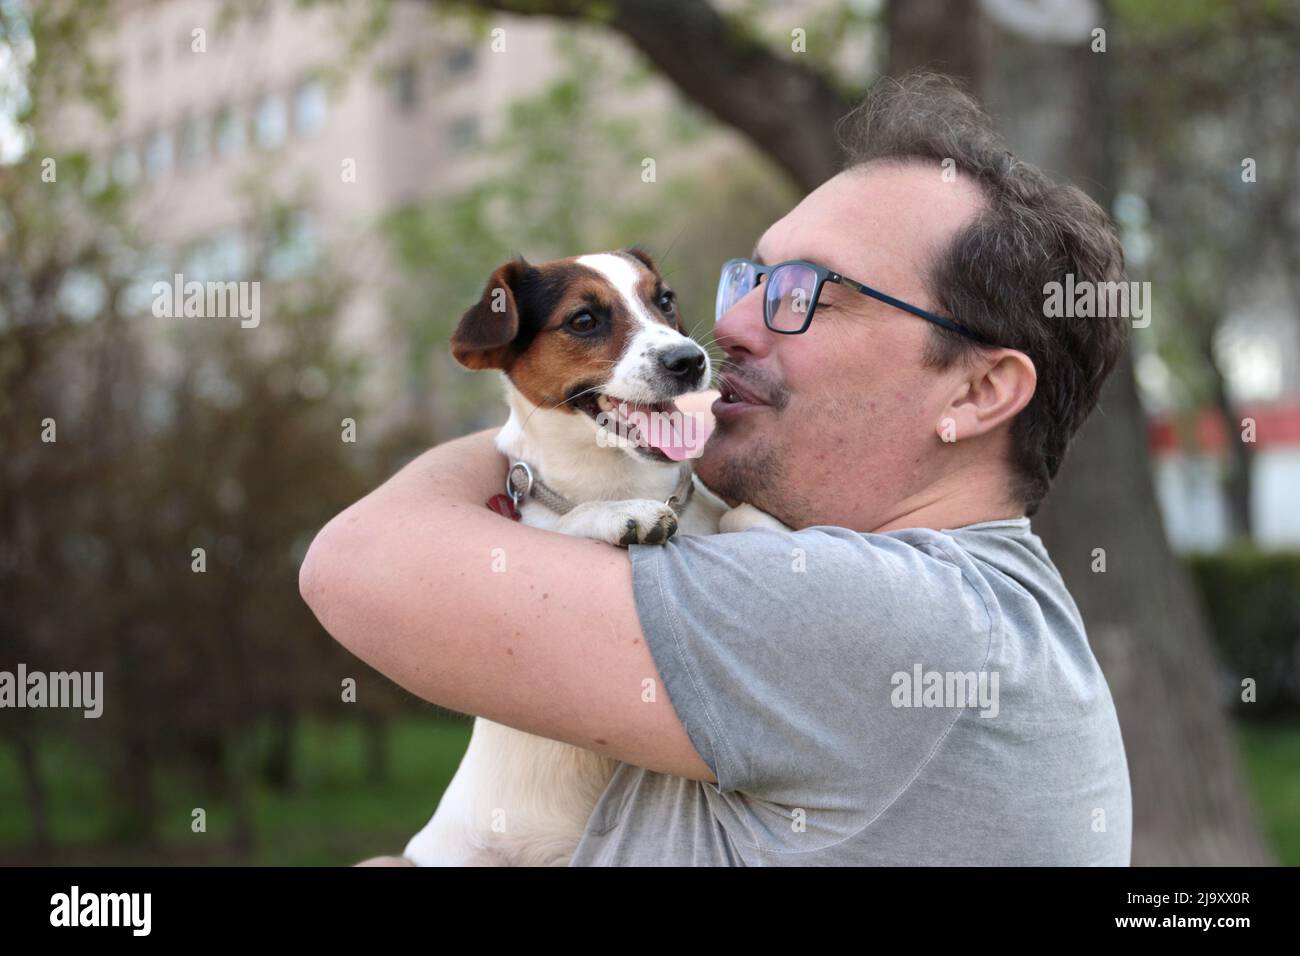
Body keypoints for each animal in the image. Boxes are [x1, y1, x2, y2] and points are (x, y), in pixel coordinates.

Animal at [400, 248, 774, 868]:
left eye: (664, 300)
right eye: (583, 320)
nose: (689, 359)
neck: (620, 477)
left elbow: (738, 513)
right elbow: (571, 523)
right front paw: (625, 517)